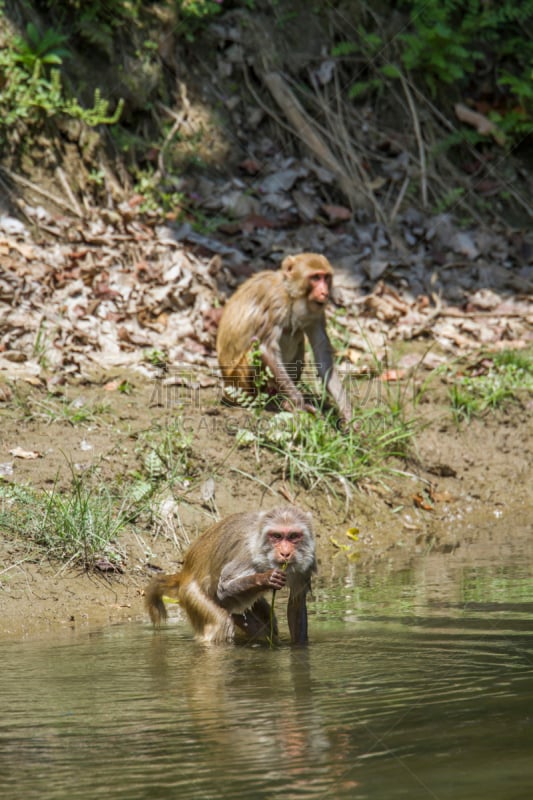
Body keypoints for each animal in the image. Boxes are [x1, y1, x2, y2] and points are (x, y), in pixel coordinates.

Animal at [144, 510, 316, 648]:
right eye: (277, 536)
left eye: (293, 536)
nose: (285, 553)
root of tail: (185, 573)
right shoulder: (248, 555)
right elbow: (224, 588)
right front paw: (266, 578)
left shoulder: (307, 562)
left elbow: (296, 604)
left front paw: (299, 647)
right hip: (191, 593)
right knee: (222, 622)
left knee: (261, 615)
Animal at [214, 253, 352, 428]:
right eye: (315, 277)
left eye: (326, 277)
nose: (324, 292)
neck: (292, 295)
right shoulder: (276, 301)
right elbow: (265, 348)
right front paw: (299, 403)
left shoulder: (317, 313)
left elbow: (323, 358)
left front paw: (347, 412)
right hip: (238, 379)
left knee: (297, 336)